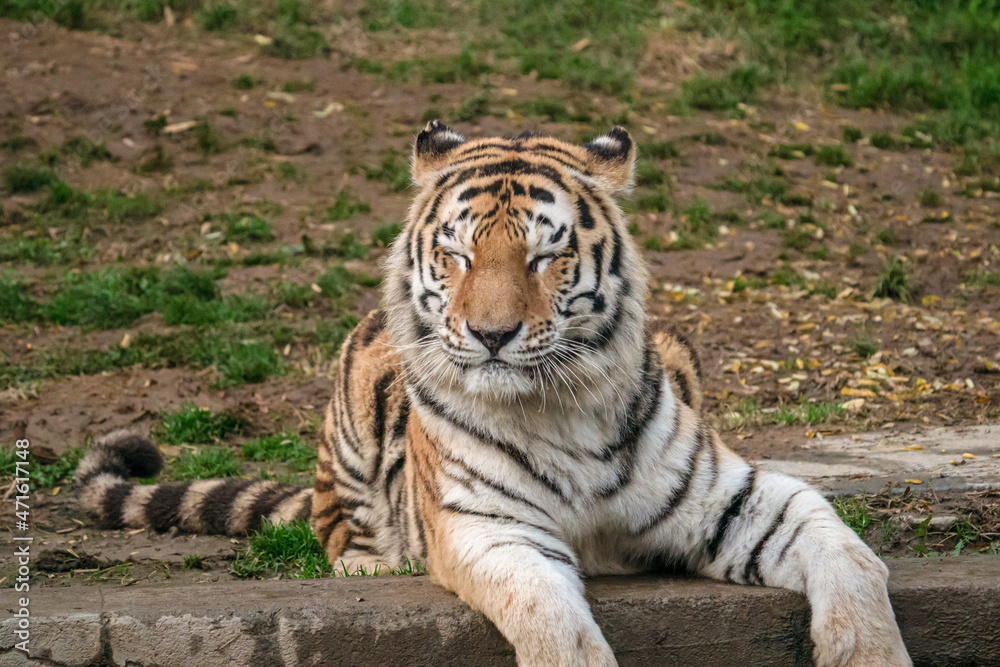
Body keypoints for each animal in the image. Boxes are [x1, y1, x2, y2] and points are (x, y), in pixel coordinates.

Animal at [76, 121, 911, 667]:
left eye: (546, 254)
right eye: (457, 252)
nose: (492, 334)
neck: (565, 408)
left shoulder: (732, 495)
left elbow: (851, 554)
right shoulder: (492, 529)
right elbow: (555, 622)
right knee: (338, 531)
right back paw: (373, 565)